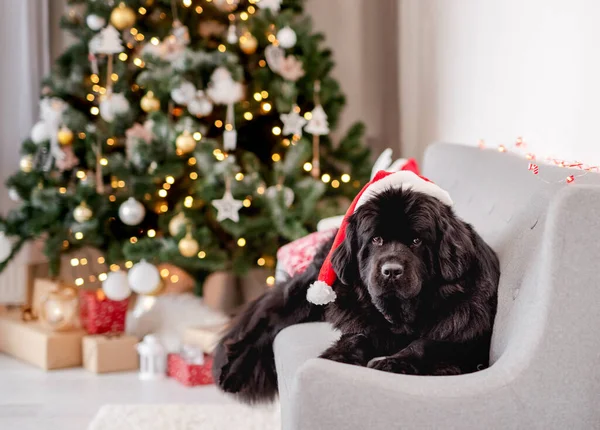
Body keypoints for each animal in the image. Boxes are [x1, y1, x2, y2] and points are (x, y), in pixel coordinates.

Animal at [213, 187, 500, 404]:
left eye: (417, 241)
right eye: (376, 240)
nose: (391, 271)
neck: (401, 318)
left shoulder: (471, 337)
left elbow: (427, 343)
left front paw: (393, 362)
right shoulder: (362, 323)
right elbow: (358, 337)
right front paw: (340, 356)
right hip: (307, 296)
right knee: (268, 324)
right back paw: (233, 371)